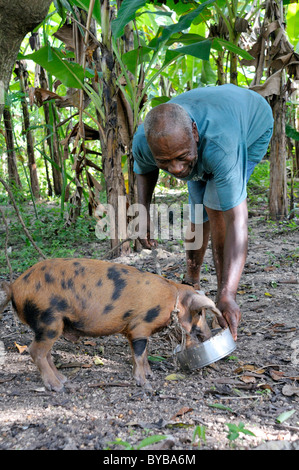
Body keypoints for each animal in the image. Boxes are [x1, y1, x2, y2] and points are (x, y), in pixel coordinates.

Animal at [0, 258, 225, 392]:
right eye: (200, 312)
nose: (208, 335)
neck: (172, 302)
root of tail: (15, 286)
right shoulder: (140, 326)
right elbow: (139, 353)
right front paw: (145, 383)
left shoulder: (133, 330)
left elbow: (140, 354)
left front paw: (149, 374)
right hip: (48, 320)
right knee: (35, 350)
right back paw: (57, 387)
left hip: (50, 326)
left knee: (45, 352)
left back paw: (63, 379)